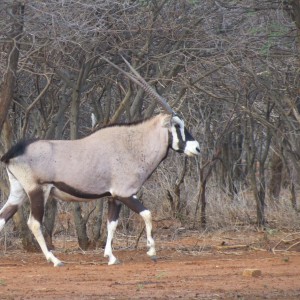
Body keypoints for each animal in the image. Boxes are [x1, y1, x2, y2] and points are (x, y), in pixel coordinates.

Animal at [0, 57, 202, 266]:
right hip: (38, 191)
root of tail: (13, 152)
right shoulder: (125, 193)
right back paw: (54, 259)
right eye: (177, 125)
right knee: (34, 223)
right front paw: (151, 251)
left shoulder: (114, 197)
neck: (132, 144)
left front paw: (111, 256)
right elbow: (147, 214)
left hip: (18, 192)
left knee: (3, 217)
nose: (197, 148)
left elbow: (111, 224)